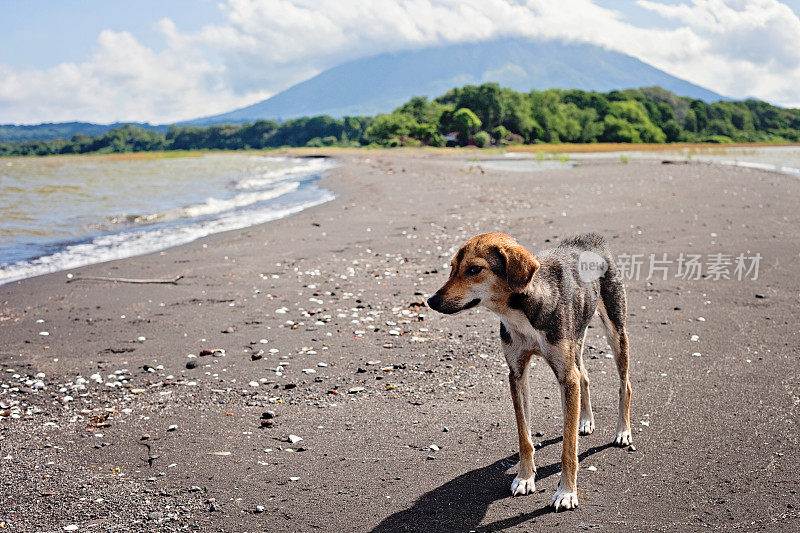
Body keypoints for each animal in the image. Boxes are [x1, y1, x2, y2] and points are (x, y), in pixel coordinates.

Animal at [428, 233, 636, 512]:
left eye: (474, 269)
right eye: (452, 267)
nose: (431, 301)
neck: (520, 310)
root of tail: (591, 240)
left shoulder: (565, 376)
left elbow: (568, 448)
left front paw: (566, 492)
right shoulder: (517, 374)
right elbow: (524, 436)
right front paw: (525, 478)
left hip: (615, 330)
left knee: (625, 385)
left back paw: (623, 431)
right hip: (575, 343)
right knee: (584, 376)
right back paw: (585, 420)